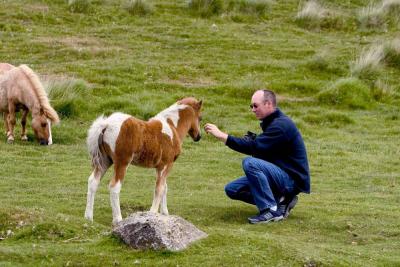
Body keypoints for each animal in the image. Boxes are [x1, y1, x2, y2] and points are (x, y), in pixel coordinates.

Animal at [85, 97, 203, 225]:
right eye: (200, 117)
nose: (198, 137)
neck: (172, 127)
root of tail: (106, 124)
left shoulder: (161, 167)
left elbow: (164, 187)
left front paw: (164, 213)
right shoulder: (166, 165)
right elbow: (159, 189)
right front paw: (153, 213)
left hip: (105, 161)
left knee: (93, 182)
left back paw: (88, 217)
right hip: (122, 162)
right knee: (114, 186)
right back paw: (118, 219)